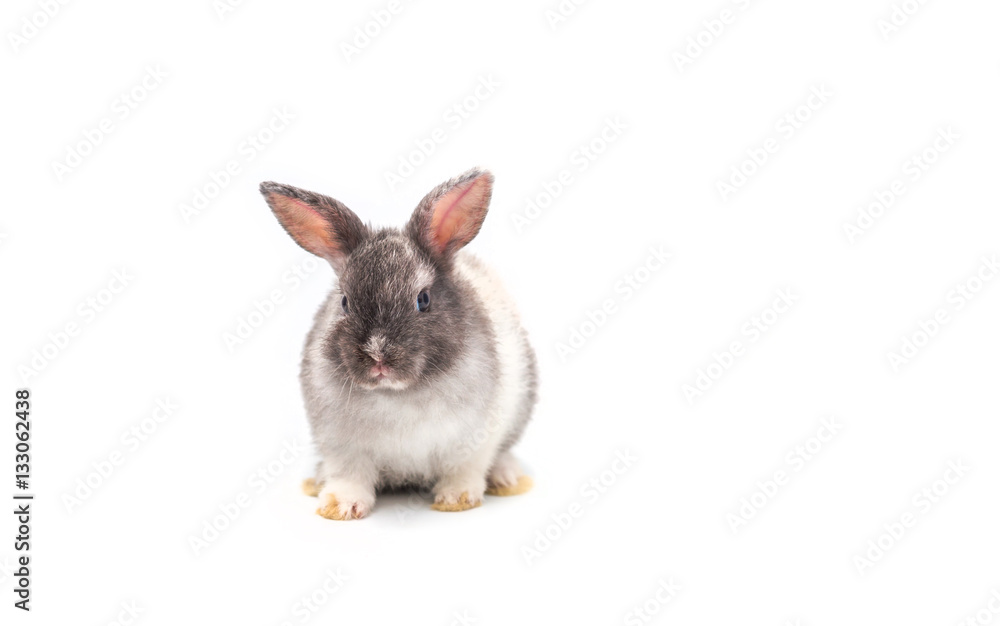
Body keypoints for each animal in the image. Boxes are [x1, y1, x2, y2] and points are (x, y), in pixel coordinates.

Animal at [259, 168, 537, 520]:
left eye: (423, 300)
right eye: (345, 302)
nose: (378, 356)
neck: (395, 395)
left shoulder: (473, 442)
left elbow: (464, 470)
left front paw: (456, 500)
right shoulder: (341, 448)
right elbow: (349, 477)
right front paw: (340, 506)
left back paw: (507, 478)